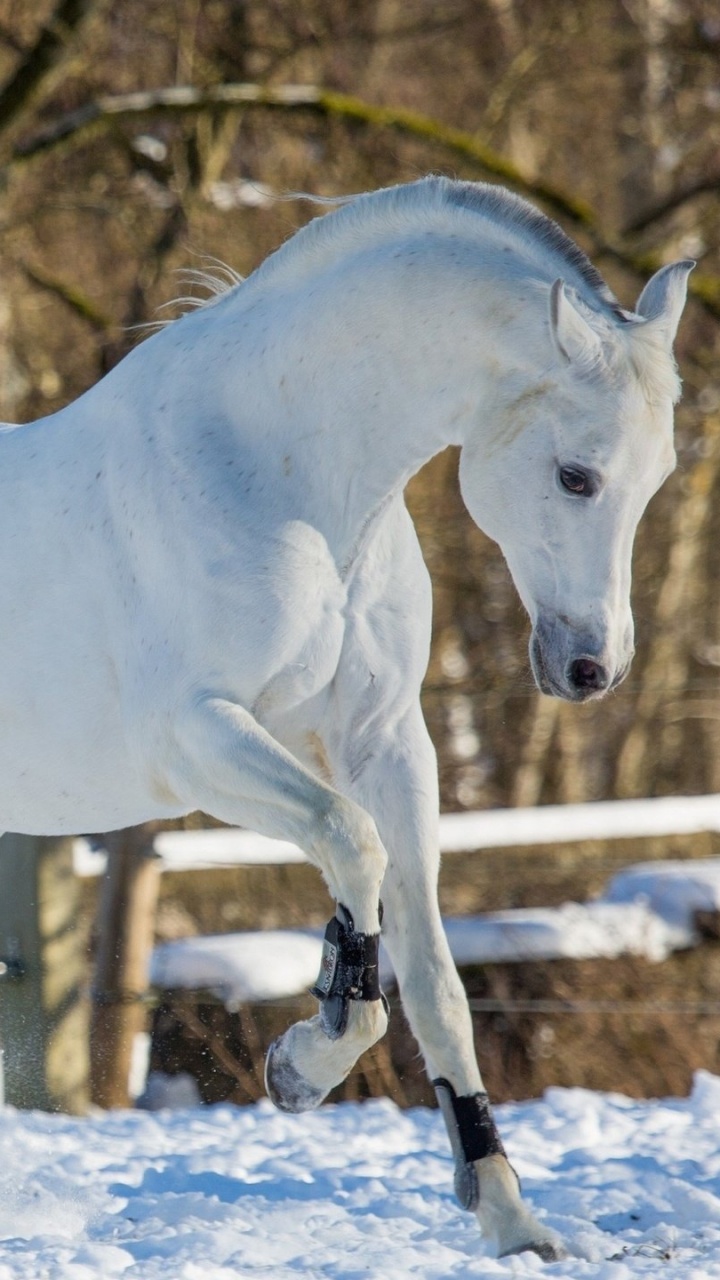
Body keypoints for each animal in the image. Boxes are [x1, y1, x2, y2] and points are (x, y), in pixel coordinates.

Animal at [0, 176, 691, 1260]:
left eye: (657, 480)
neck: (277, 475)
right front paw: (301, 1062)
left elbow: (434, 977)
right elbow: (350, 846)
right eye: (575, 475)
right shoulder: (198, 738)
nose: (591, 668)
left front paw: (510, 1219)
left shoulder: (386, 743)